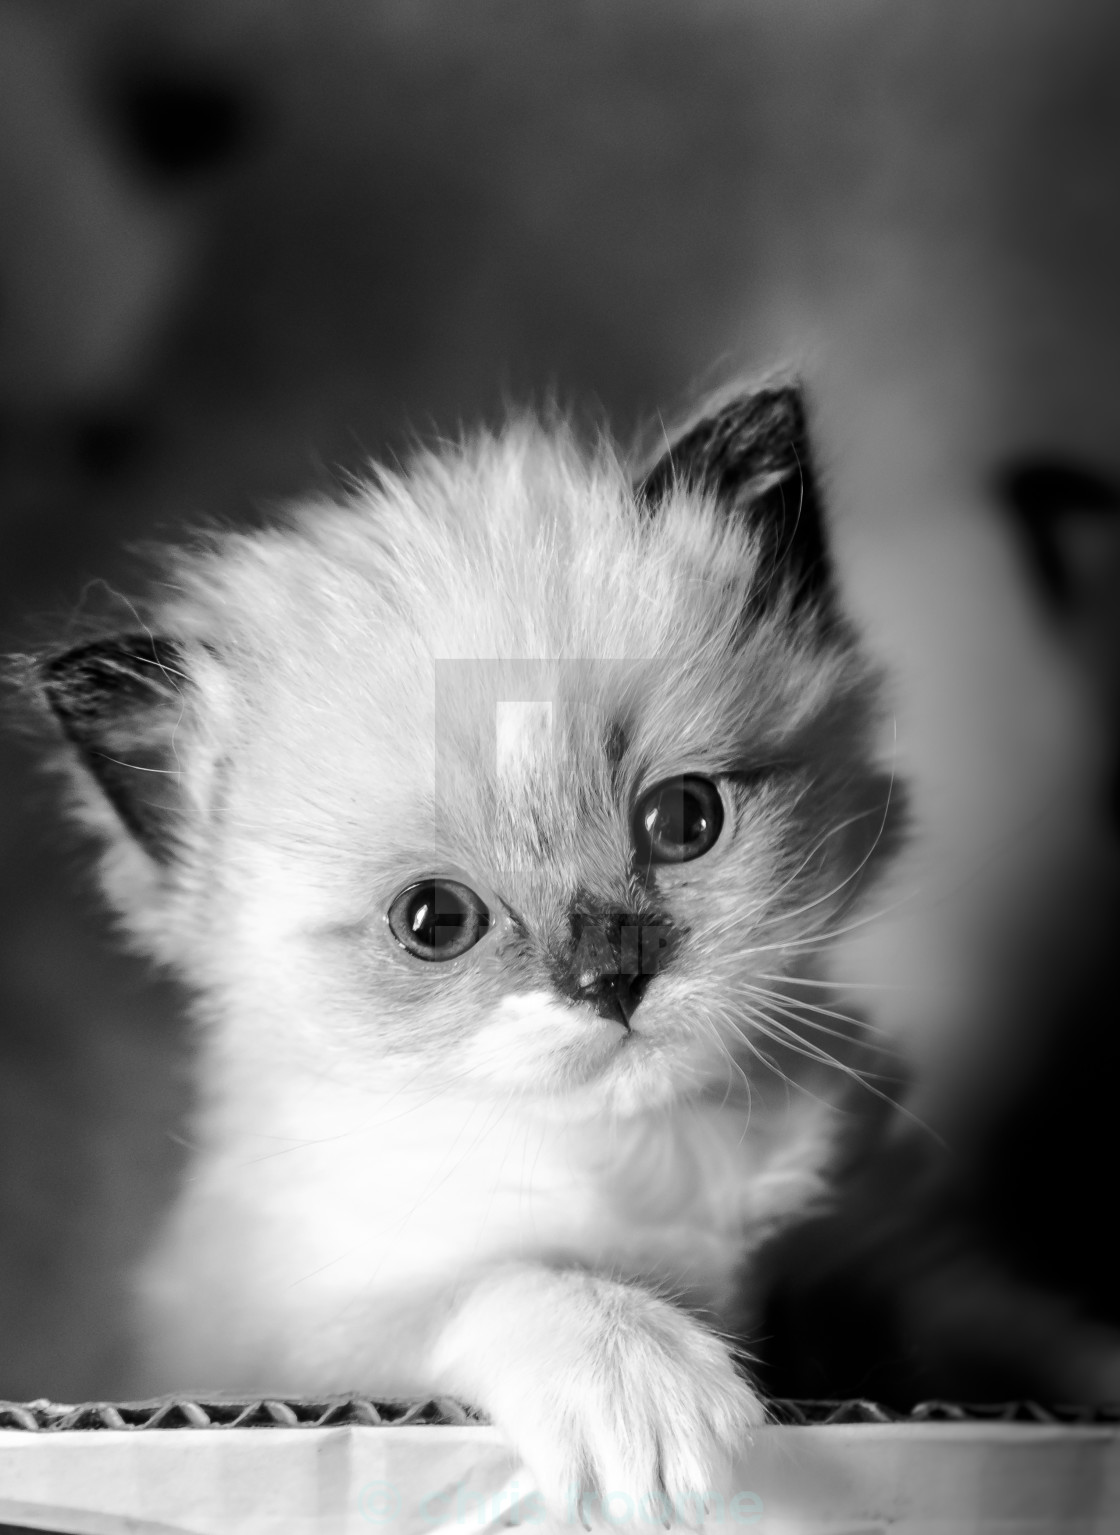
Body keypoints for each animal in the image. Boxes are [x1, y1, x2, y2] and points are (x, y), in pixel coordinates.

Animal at [37, 386, 896, 1522]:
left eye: (686, 819)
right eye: (435, 921)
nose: (612, 978)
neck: (638, 1157)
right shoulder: (291, 1344)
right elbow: (500, 1282)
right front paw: (637, 1384)